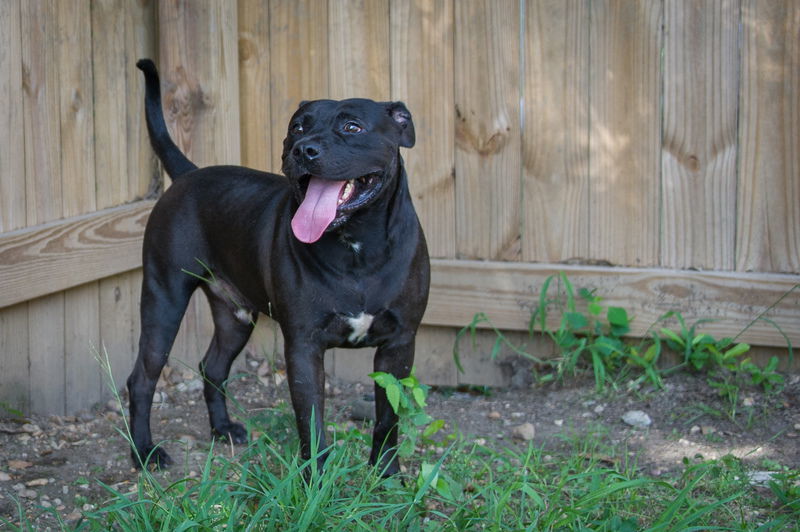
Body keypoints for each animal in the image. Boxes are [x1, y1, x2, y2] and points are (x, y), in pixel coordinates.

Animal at [128, 58, 432, 474]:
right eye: (297, 127)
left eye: (352, 127)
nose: (304, 149)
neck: (357, 247)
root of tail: (190, 172)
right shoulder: (304, 347)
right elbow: (312, 423)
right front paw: (317, 480)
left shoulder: (398, 346)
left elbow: (388, 419)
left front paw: (385, 476)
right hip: (164, 301)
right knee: (142, 378)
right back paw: (144, 451)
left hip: (235, 317)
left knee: (213, 366)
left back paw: (223, 429)